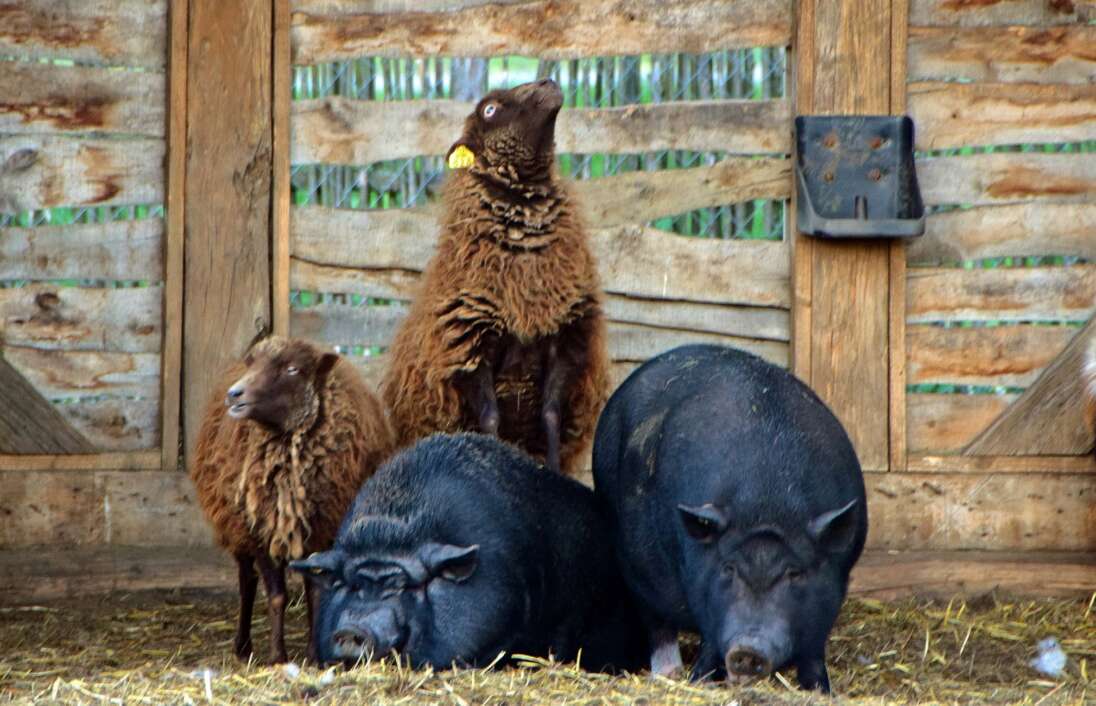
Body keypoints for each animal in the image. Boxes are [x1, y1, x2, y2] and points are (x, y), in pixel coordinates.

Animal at [190, 335, 396, 662]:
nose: (234, 394)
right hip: (238, 530)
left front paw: (314, 654)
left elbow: (315, 593)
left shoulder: (324, 533)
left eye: (292, 369)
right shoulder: (260, 534)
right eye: (253, 363)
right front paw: (278, 656)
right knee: (247, 582)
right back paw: (242, 646)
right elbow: (277, 596)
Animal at [383, 77, 609, 473]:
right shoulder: (469, 346)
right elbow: (490, 419)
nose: (550, 82)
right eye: (490, 109)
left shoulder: (567, 336)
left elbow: (550, 416)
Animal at [596, 344, 868, 692]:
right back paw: (670, 674)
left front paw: (820, 690)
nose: (747, 650)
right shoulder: (702, 586)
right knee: (657, 624)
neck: (768, 502)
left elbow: (813, 650)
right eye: (729, 568)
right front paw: (700, 681)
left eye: (794, 573)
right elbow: (709, 641)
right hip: (633, 566)